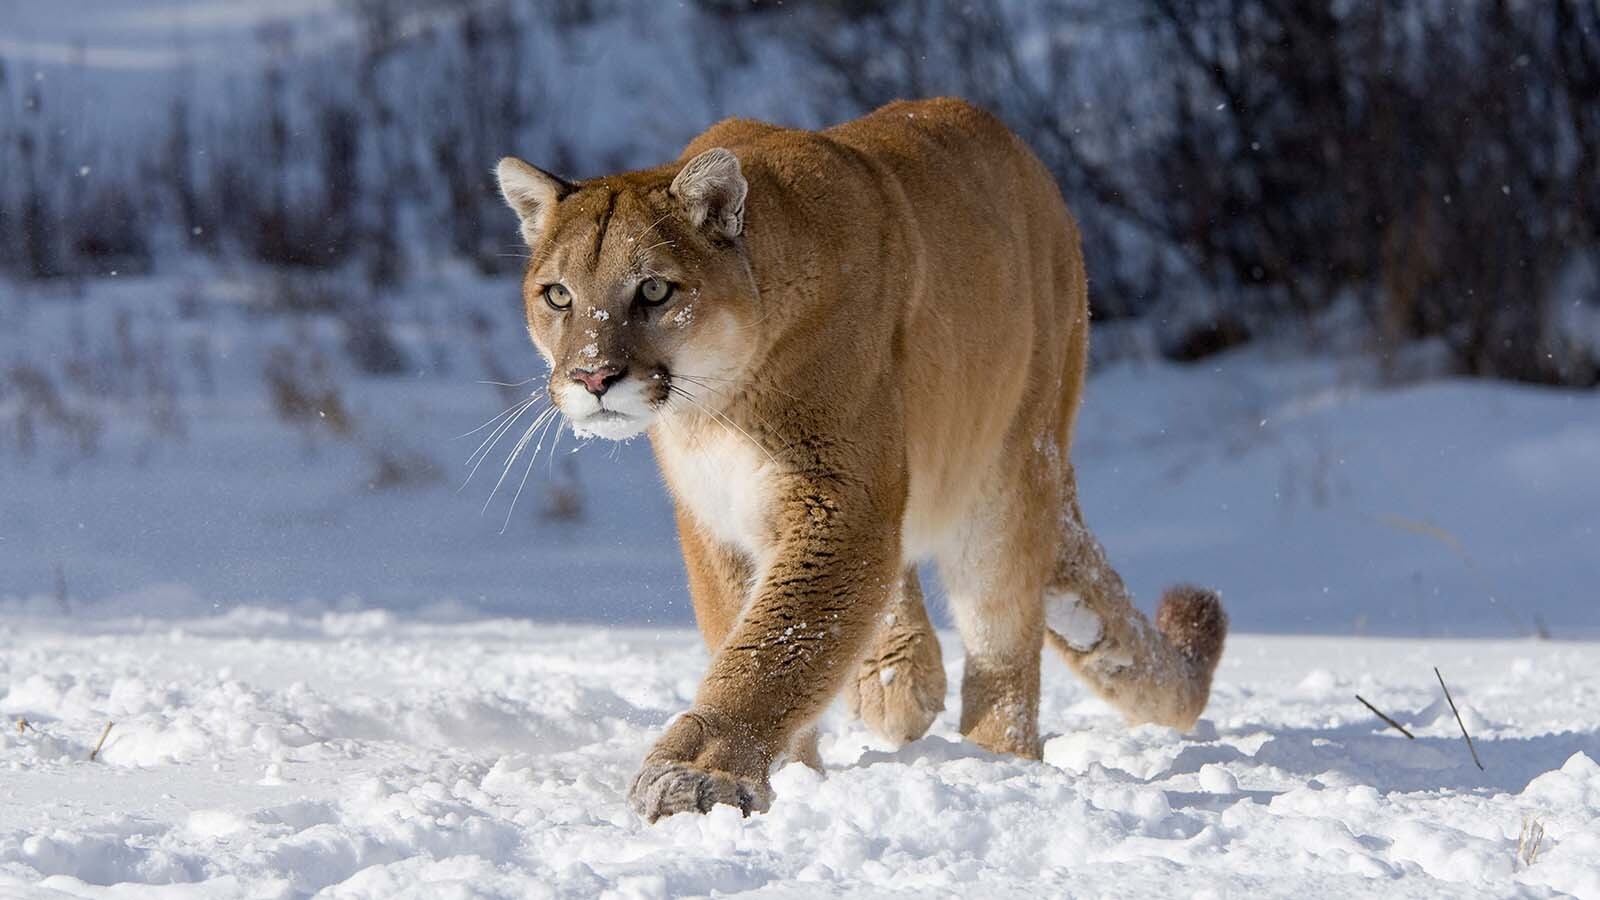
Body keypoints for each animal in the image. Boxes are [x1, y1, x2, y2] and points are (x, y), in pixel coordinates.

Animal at [494, 97, 1227, 822]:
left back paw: (996, 763)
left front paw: (697, 773)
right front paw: (790, 771)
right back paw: (899, 679)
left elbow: (776, 643)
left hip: (1007, 477)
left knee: (1003, 646)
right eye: (558, 294)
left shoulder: (837, 496)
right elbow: (749, 624)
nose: (592, 376)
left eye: (653, 290)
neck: (718, 407)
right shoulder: (719, 518)